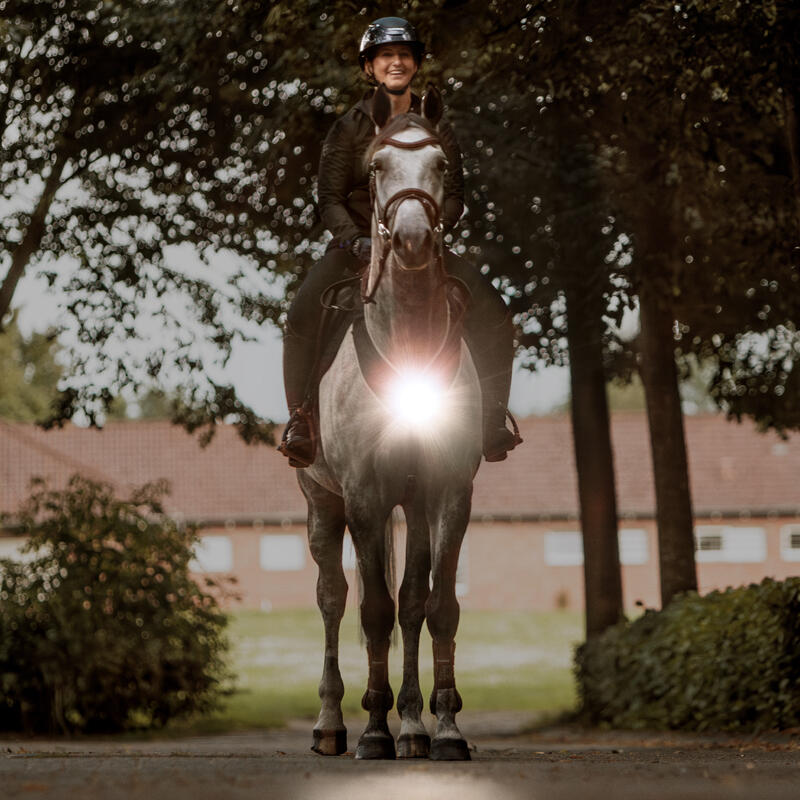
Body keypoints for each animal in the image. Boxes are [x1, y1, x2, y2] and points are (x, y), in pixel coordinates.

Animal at [296, 84, 482, 761]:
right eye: (376, 166)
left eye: (442, 164)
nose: (411, 239)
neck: (407, 343)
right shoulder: (365, 495)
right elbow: (372, 610)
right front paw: (375, 728)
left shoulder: (447, 491)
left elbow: (436, 606)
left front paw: (439, 727)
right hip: (323, 503)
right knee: (333, 598)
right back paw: (330, 724)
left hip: (415, 506)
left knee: (411, 602)